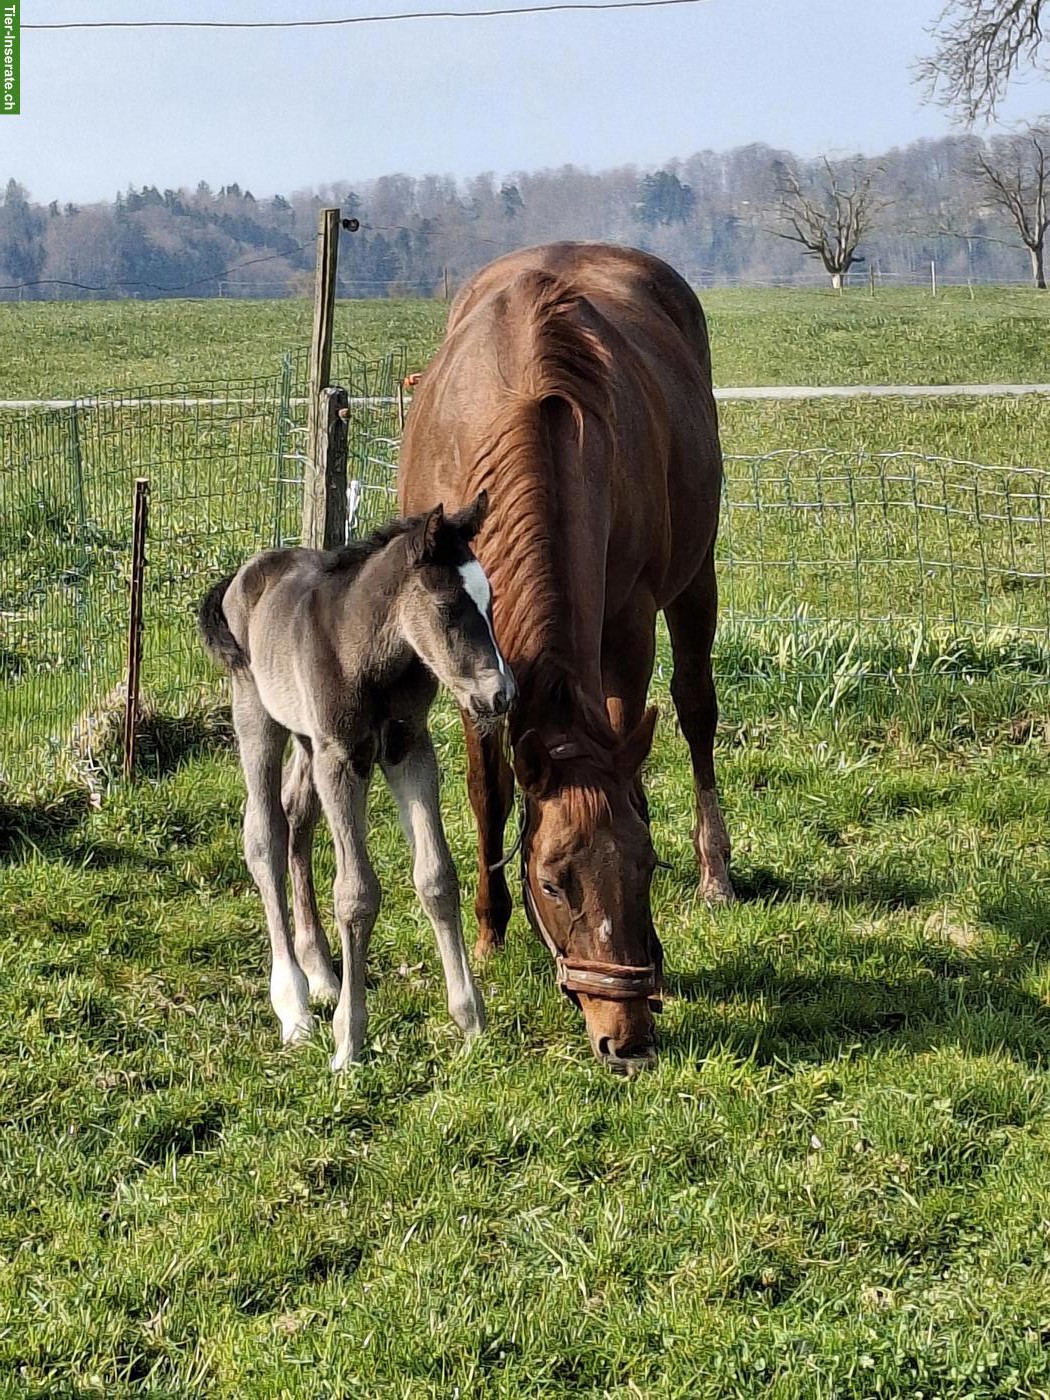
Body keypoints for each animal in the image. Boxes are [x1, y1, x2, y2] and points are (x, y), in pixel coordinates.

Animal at [198, 493, 516, 1070]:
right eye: (446, 608)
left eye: (491, 601)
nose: (500, 695)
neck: (367, 654)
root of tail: (244, 573)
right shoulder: (343, 760)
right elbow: (356, 893)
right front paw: (348, 1040)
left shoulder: (408, 750)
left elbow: (437, 877)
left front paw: (470, 1022)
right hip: (256, 712)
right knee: (265, 835)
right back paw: (295, 1008)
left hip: (308, 739)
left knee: (296, 818)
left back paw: (322, 974)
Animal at [398, 242, 733, 1074]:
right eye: (553, 883)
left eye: (644, 868)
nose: (627, 1039)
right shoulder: (460, 650)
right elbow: (489, 791)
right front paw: (489, 931)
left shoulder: (628, 624)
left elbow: (632, 765)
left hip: (697, 579)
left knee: (696, 709)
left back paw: (717, 870)